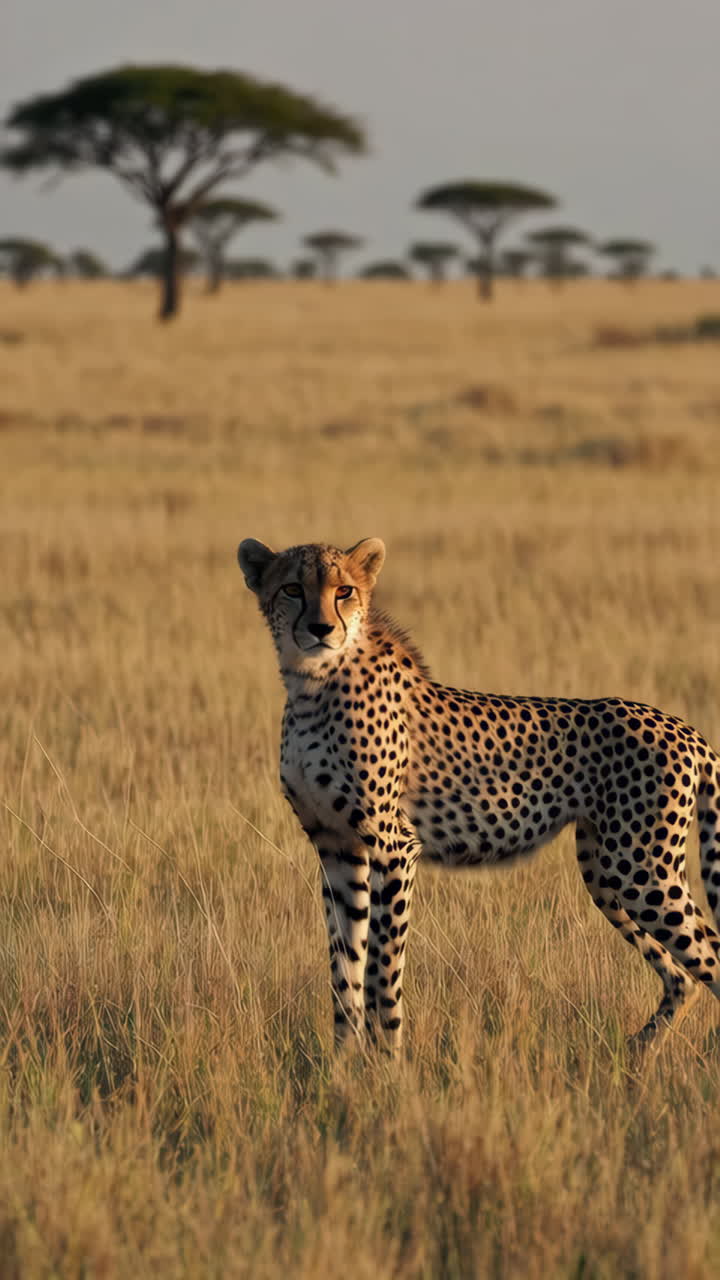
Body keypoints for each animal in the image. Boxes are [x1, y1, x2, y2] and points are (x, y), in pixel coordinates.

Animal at [238, 535, 720, 1056]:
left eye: (343, 590)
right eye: (292, 589)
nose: (322, 628)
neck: (313, 682)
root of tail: (685, 728)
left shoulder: (394, 846)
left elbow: (383, 969)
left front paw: (388, 1062)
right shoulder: (336, 846)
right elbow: (344, 967)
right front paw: (344, 1062)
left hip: (639, 868)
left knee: (708, 955)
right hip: (606, 871)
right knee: (684, 977)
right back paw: (636, 1053)